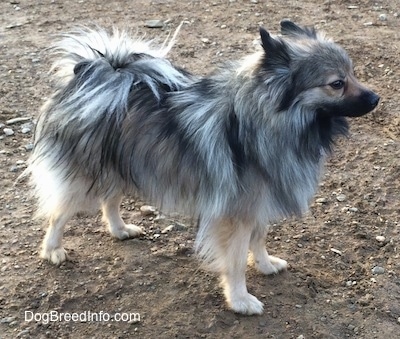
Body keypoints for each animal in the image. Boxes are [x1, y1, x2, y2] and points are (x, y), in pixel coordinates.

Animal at [25, 19, 378, 314]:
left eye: (353, 73)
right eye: (337, 83)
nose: (375, 98)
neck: (265, 124)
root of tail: (96, 74)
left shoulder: (258, 204)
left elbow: (259, 240)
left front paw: (265, 266)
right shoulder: (236, 213)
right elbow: (235, 261)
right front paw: (240, 300)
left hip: (122, 167)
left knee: (108, 201)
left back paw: (120, 229)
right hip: (83, 177)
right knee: (59, 214)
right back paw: (53, 249)